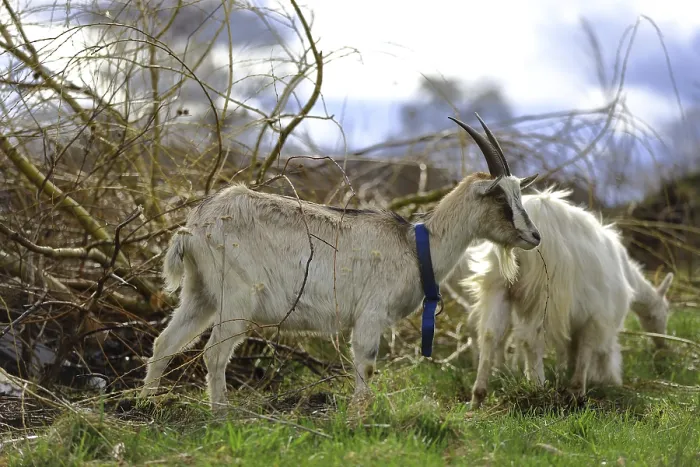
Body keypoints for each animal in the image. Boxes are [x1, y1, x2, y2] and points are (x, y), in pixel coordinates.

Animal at [139, 115, 542, 412]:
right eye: (501, 200)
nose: (534, 236)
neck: (415, 246)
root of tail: (193, 227)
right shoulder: (370, 314)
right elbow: (366, 365)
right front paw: (359, 418)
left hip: (200, 294)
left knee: (164, 342)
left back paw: (145, 404)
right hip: (236, 297)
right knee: (214, 352)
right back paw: (222, 415)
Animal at [461, 188, 674, 408]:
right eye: (663, 313)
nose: (662, 345)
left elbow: (575, 349)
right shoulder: (598, 316)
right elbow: (590, 350)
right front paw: (583, 388)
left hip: (498, 285)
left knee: (490, 334)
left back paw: (478, 396)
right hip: (546, 292)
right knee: (531, 338)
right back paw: (538, 387)